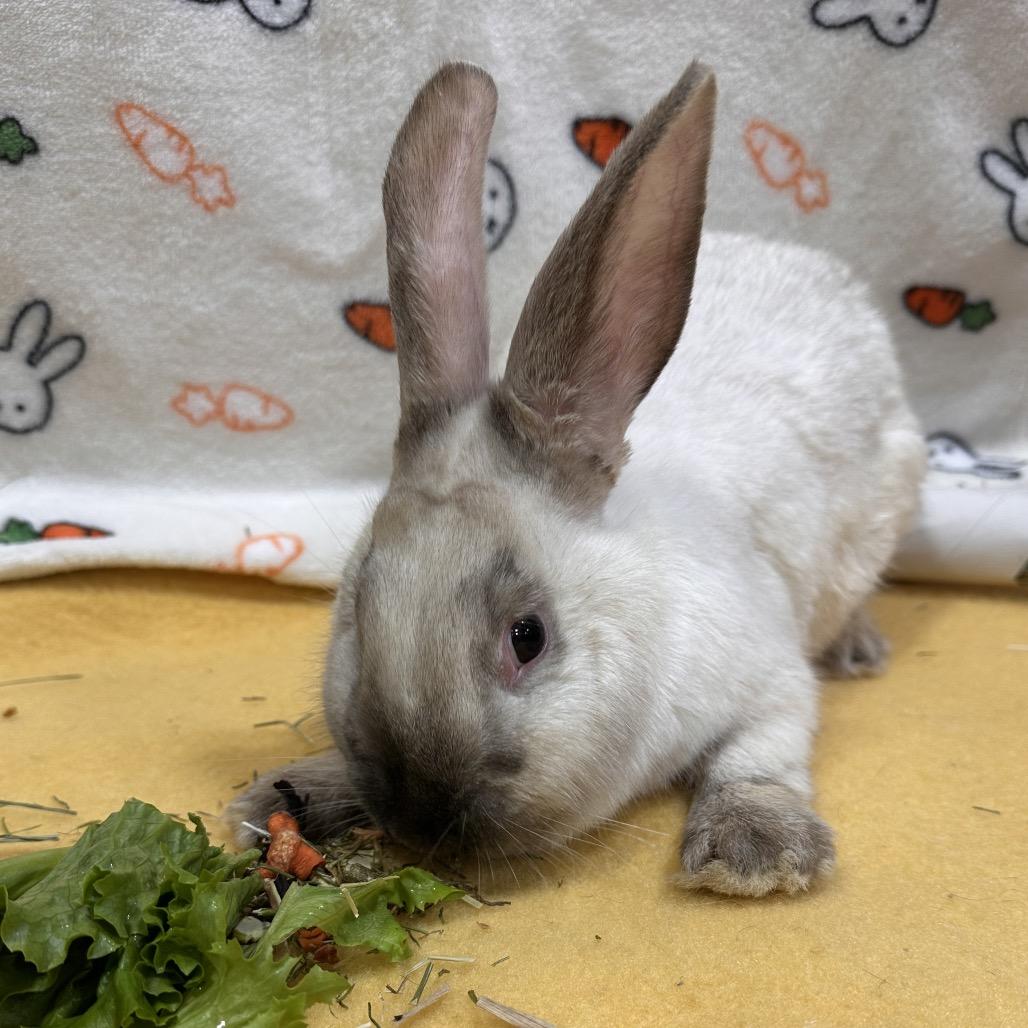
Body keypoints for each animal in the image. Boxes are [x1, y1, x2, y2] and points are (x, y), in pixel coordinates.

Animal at [229, 61, 925, 897]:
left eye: (528, 638)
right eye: (357, 613)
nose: (421, 815)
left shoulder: (770, 680)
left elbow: (758, 756)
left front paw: (755, 854)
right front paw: (284, 795)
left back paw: (859, 650)